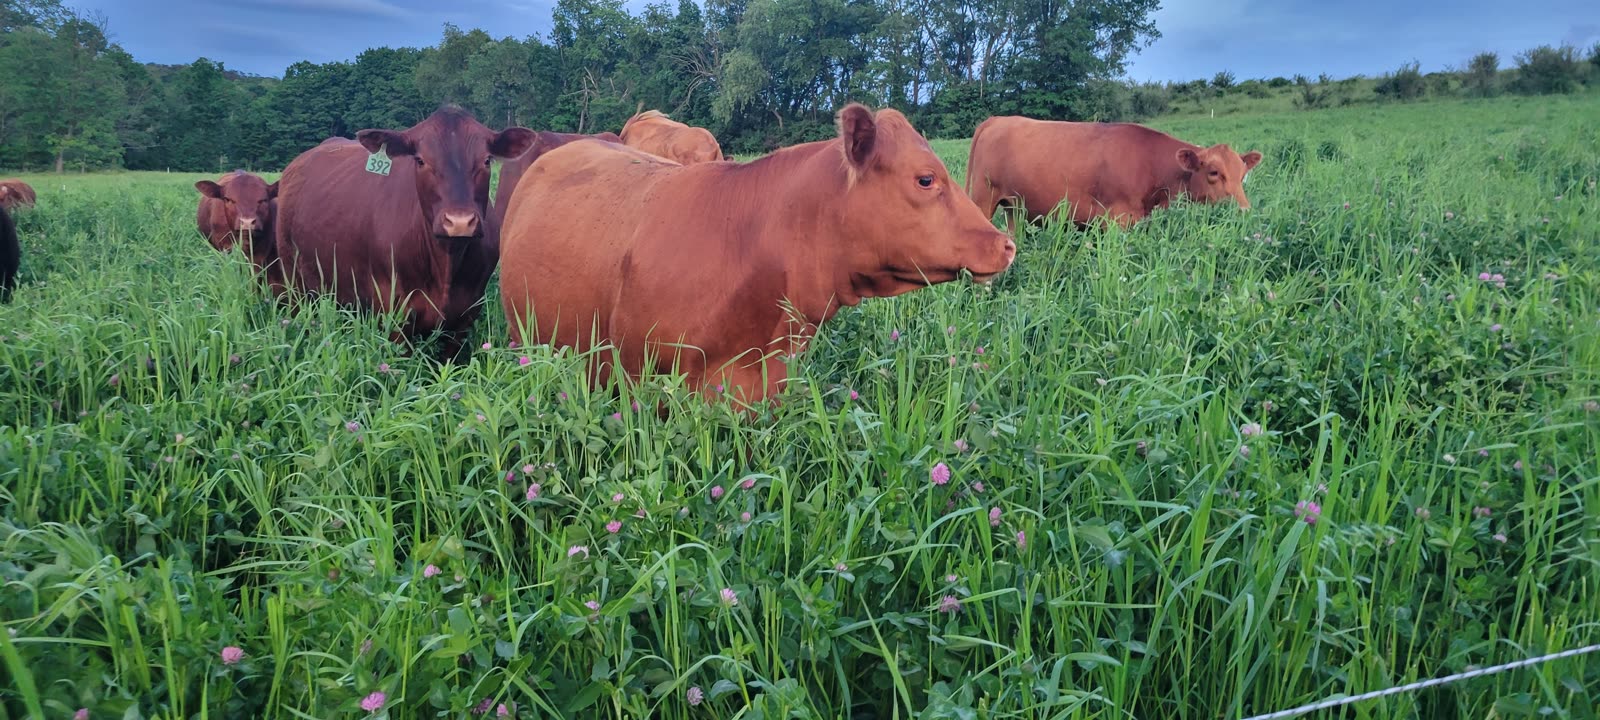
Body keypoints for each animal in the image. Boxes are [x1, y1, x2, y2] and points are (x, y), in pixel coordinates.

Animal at [274, 107, 535, 361]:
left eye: (487, 160)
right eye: (420, 160)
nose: (459, 222)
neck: (446, 263)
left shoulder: (466, 314)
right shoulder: (393, 311)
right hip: (294, 279)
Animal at [965, 117, 1263, 229]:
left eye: (1243, 175)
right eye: (1214, 172)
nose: (1243, 210)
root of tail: (998, 119)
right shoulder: (1117, 220)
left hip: (1013, 206)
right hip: (983, 200)